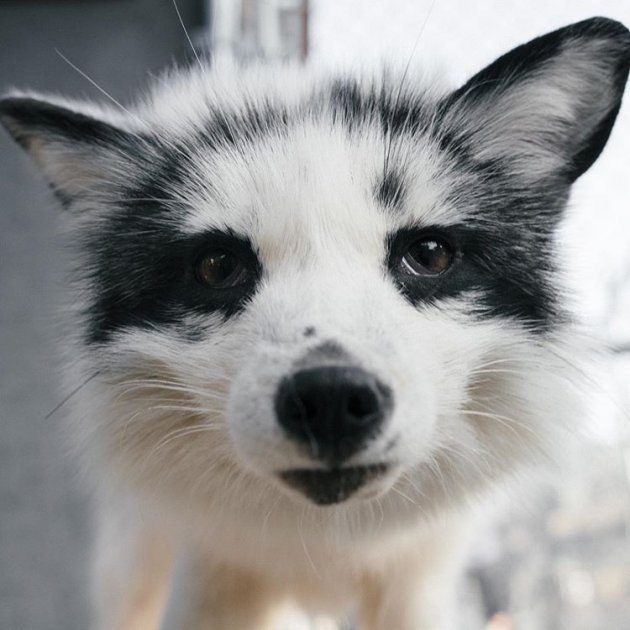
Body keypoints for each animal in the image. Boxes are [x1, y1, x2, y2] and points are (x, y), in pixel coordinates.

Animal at [2, 14, 628, 630]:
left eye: (429, 254)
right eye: (216, 266)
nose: (330, 398)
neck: (326, 547)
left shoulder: (418, 580)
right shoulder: (214, 573)